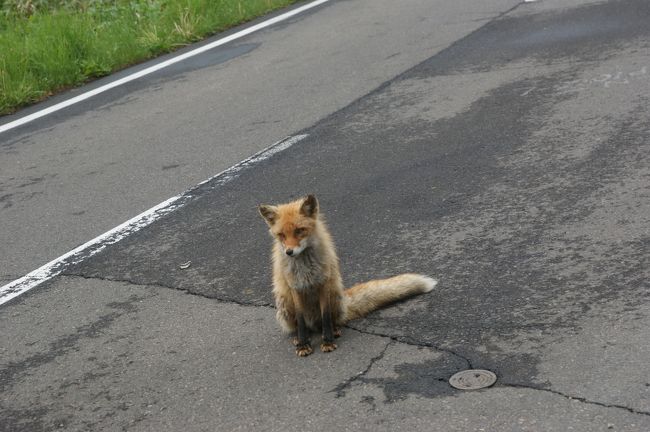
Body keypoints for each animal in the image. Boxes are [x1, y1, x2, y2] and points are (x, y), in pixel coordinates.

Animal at [256, 194, 436, 356]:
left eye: (299, 231)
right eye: (281, 235)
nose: (289, 252)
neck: (306, 268)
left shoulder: (323, 283)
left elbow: (326, 317)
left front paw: (328, 342)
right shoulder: (295, 287)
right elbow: (300, 322)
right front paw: (303, 344)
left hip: (334, 295)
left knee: (329, 321)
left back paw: (333, 331)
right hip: (285, 303)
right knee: (302, 326)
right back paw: (298, 338)